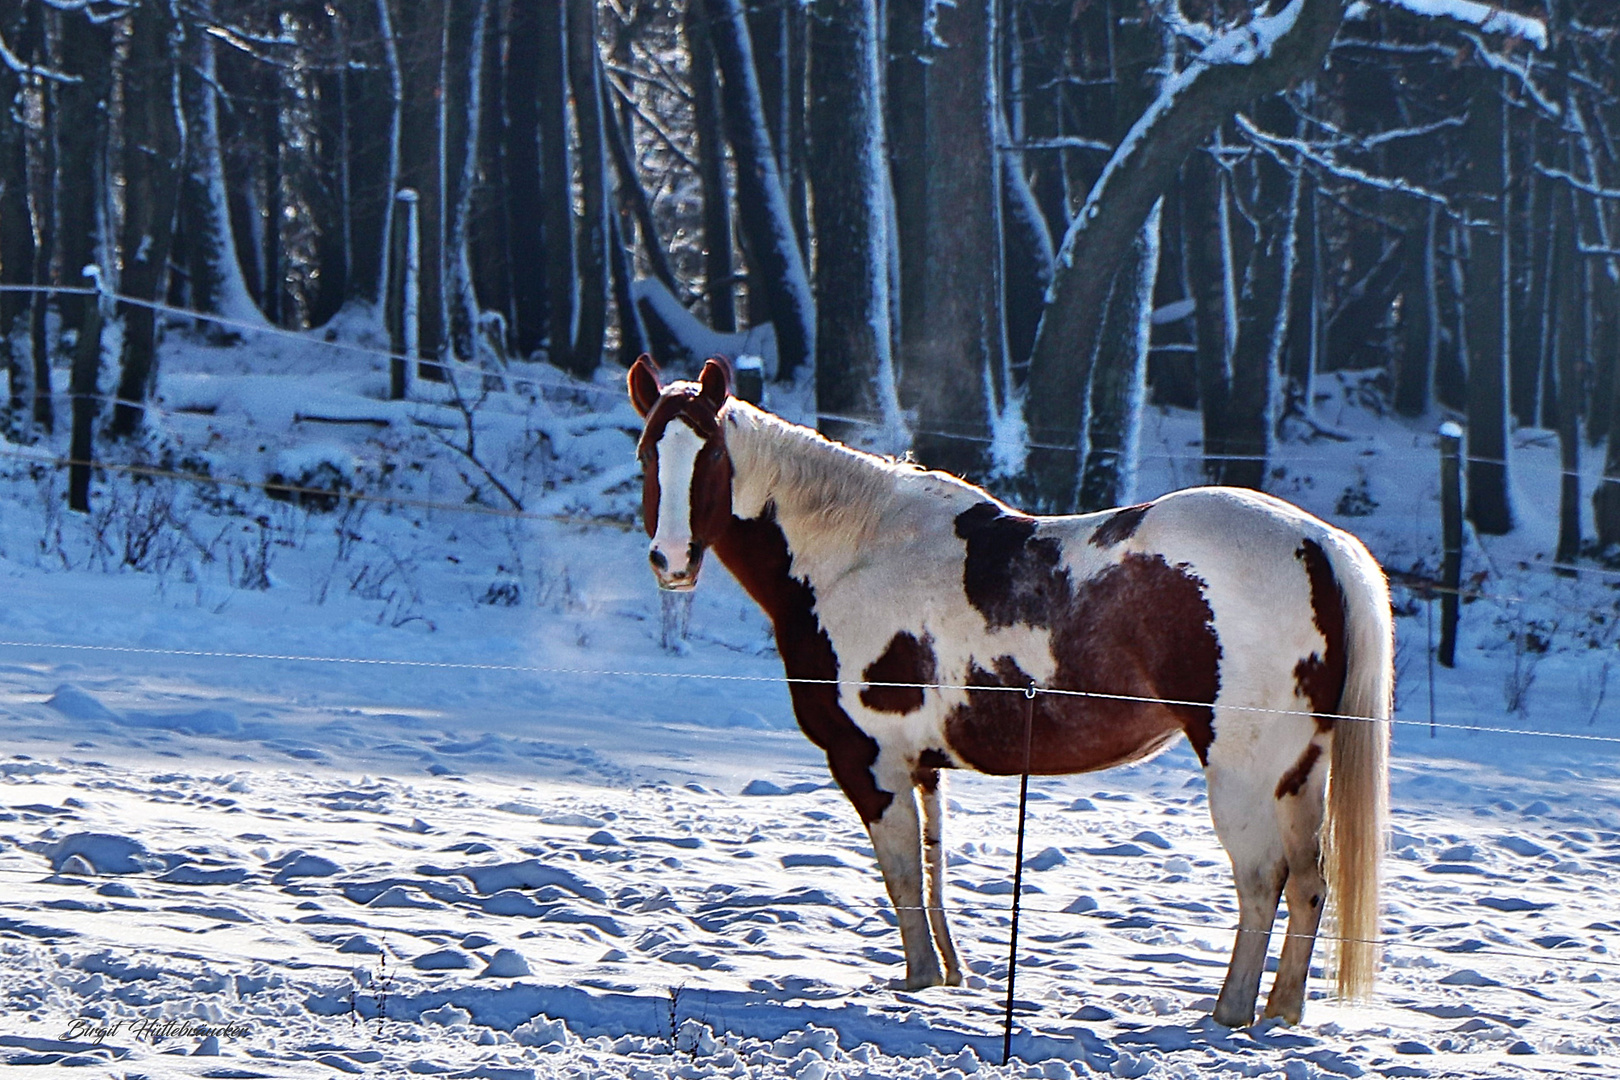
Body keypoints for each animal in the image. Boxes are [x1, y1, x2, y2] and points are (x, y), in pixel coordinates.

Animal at [625, 356, 1386, 1029]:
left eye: (710, 459)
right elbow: (933, 871)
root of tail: (1319, 545)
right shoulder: (921, 767)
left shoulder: (869, 762)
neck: (857, 555)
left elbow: (901, 876)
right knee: (1309, 883)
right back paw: (1282, 1013)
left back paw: (1228, 1015)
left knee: (1263, 883)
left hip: (1245, 776)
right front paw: (947, 979)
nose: (670, 562)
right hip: (1299, 773)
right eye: (646, 456)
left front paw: (917, 981)